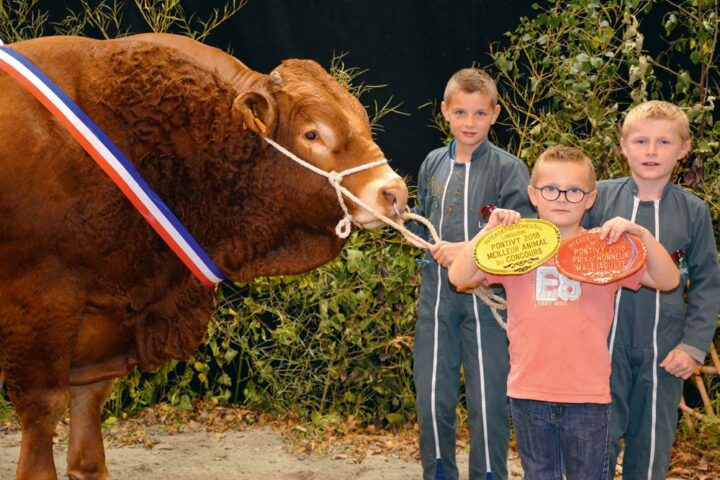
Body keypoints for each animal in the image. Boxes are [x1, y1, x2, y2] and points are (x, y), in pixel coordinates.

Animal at [0, 34, 408, 480]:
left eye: (361, 118)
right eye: (312, 133)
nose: (394, 192)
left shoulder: (107, 312)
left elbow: (89, 413)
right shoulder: (41, 302)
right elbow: (44, 410)